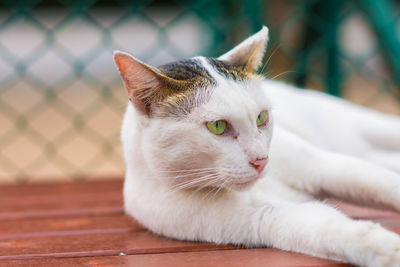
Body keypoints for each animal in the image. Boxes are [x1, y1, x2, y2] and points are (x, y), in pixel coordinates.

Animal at [111, 25, 400, 267]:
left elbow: (386, 184)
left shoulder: (323, 166)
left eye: (261, 118)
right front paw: (387, 249)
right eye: (218, 126)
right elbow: (330, 228)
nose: (262, 160)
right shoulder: (264, 218)